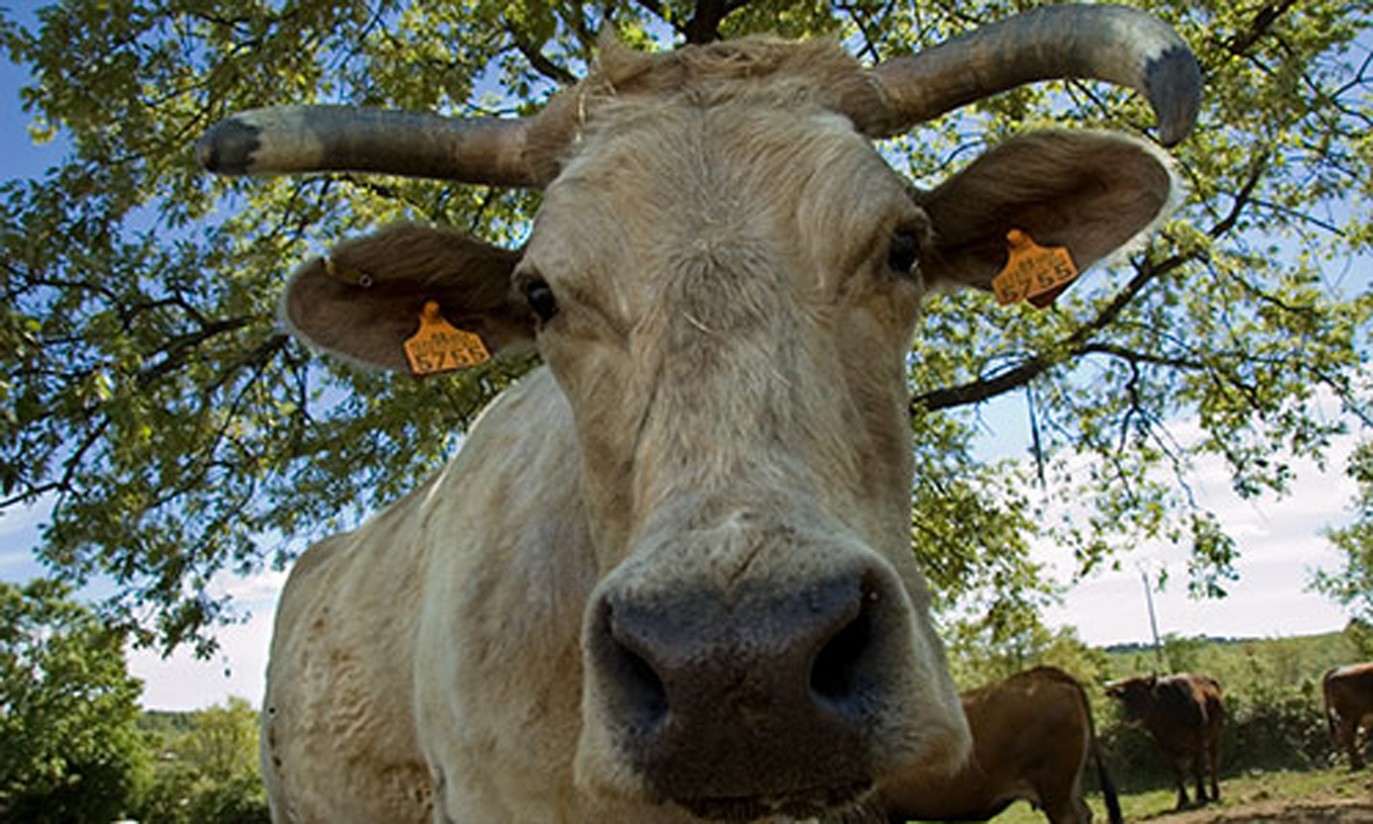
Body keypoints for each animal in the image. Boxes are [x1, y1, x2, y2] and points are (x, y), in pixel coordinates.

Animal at [1103, 670, 1224, 813]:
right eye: (1125, 698)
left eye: (1142, 694)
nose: (1132, 719)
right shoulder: (1165, 746)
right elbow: (1177, 771)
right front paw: (1182, 800)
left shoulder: (1198, 739)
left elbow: (1196, 768)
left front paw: (1202, 795)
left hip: (1215, 735)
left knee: (1213, 761)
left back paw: (1215, 792)